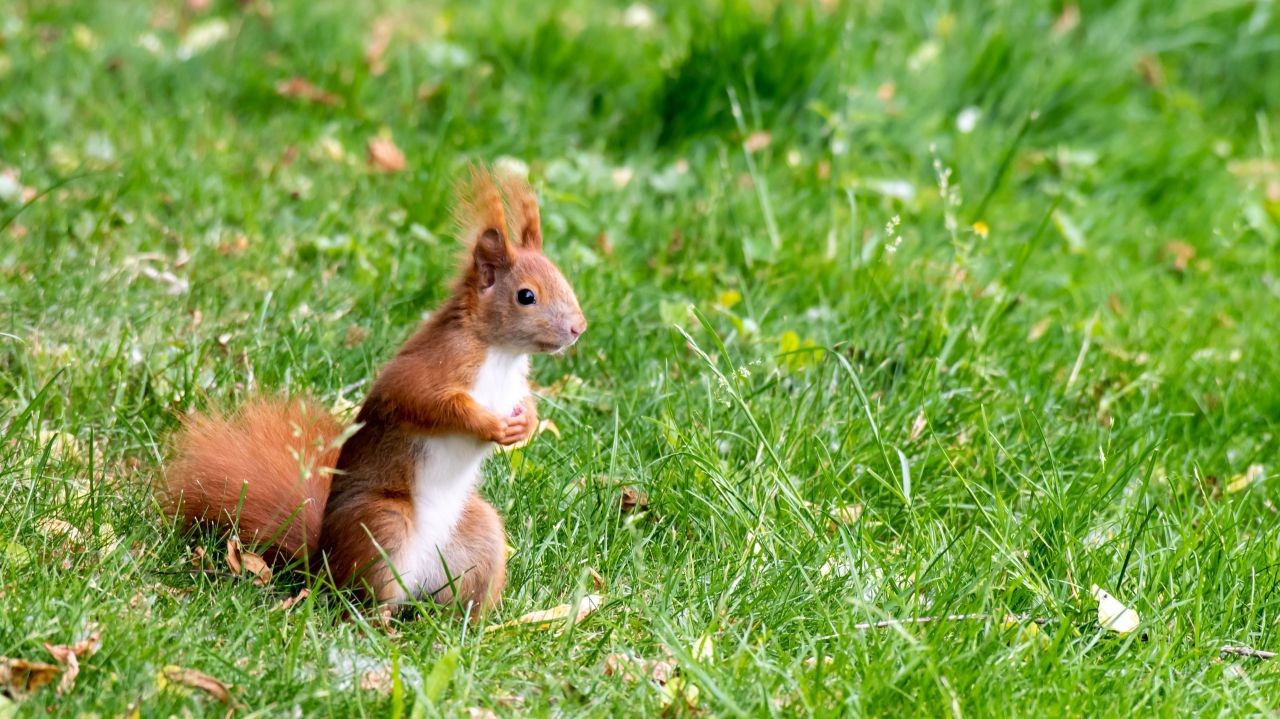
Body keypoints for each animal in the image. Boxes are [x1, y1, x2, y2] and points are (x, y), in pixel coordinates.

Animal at [162, 167, 591, 608]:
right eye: (527, 296)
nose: (579, 327)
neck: (501, 355)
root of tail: (321, 560)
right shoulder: (429, 369)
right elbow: (427, 403)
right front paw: (489, 426)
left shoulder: (512, 387)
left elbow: (524, 404)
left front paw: (525, 425)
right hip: (382, 525)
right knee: (366, 597)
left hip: (480, 537)